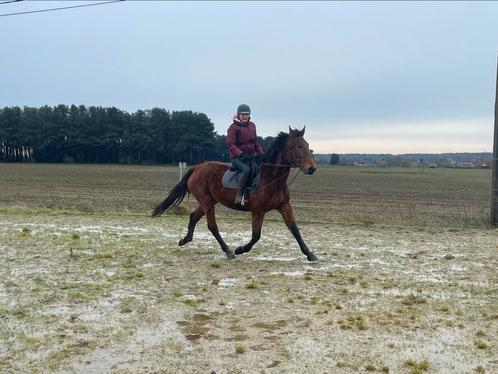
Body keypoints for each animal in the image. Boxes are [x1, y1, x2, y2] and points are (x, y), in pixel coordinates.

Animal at [151, 127, 320, 262]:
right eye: (298, 145)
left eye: (308, 145)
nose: (312, 168)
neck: (270, 177)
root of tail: (197, 168)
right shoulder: (258, 211)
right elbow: (256, 235)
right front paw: (240, 249)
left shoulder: (285, 207)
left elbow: (295, 230)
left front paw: (310, 254)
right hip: (206, 202)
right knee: (212, 226)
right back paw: (228, 251)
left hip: (208, 201)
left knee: (193, 216)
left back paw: (185, 240)